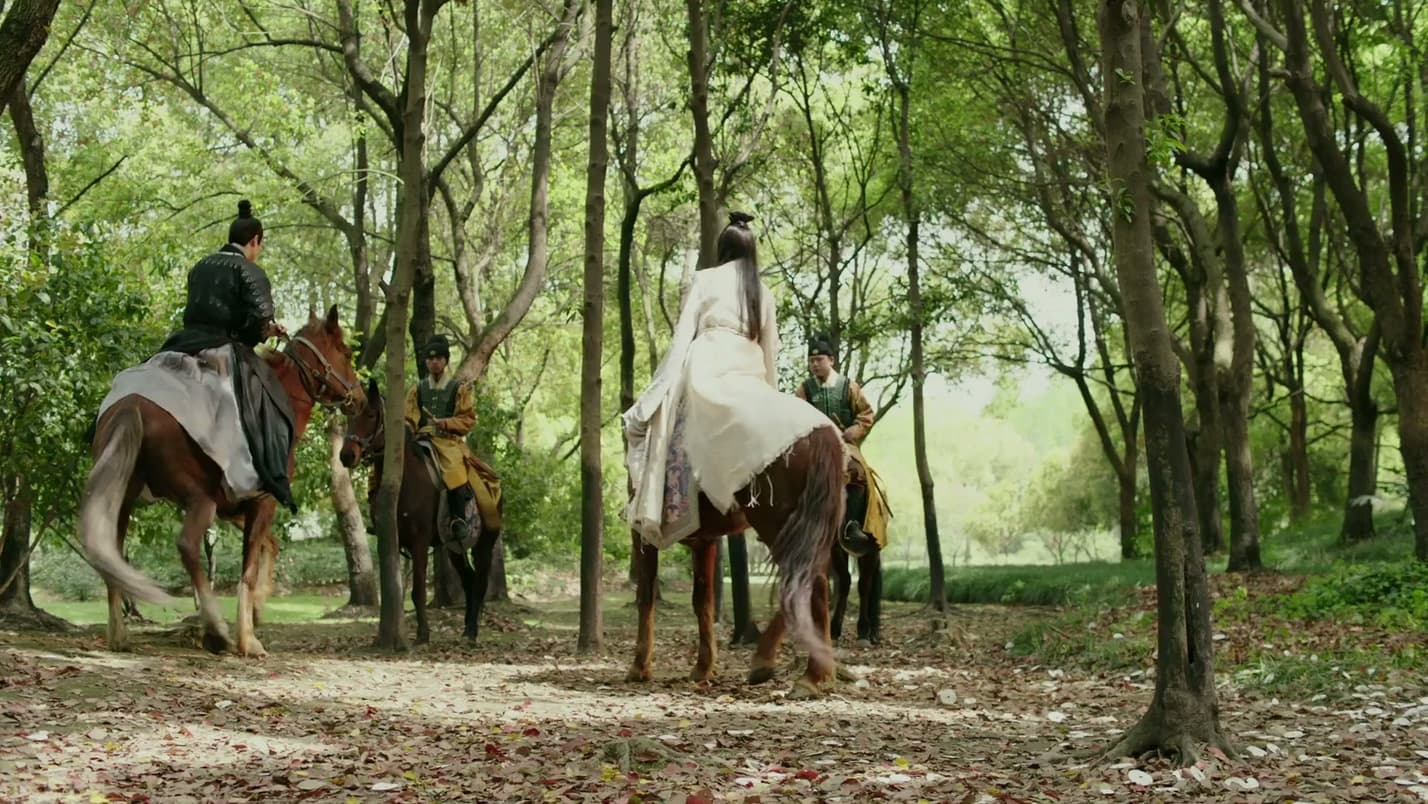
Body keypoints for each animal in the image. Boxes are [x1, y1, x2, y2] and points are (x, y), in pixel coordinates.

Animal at [80, 306, 364, 657]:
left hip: (126, 495)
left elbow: (269, 546)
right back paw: (216, 630)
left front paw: (256, 611)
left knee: (113, 548)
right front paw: (248, 638)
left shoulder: (235, 507)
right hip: (199, 499)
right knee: (187, 546)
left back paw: (119, 634)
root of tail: (132, 403)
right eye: (346, 353)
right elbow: (249, 567)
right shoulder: (262, 501)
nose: (360, 398)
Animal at [338, 378, 500, 645]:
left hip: (484, 543)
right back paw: (466, 628)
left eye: (371, 415)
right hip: (453, 546)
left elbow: (418, 592)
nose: (346, 455)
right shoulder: (393, 540)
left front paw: (423, 634)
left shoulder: (420, 541)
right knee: (468, 579)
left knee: (479, 582)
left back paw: (472, 632)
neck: (408, 479)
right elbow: (397, 589)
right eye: (350, 417)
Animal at [625, 424, 846, 698]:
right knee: (811, 578)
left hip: (778, 524)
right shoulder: (705, 542)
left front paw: (639, 668)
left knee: (802, 580)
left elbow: (645, 597)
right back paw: (818, 674)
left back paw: (792, 671)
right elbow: (703, 603)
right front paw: (703, 667)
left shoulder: (643, 534)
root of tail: (821, 432)